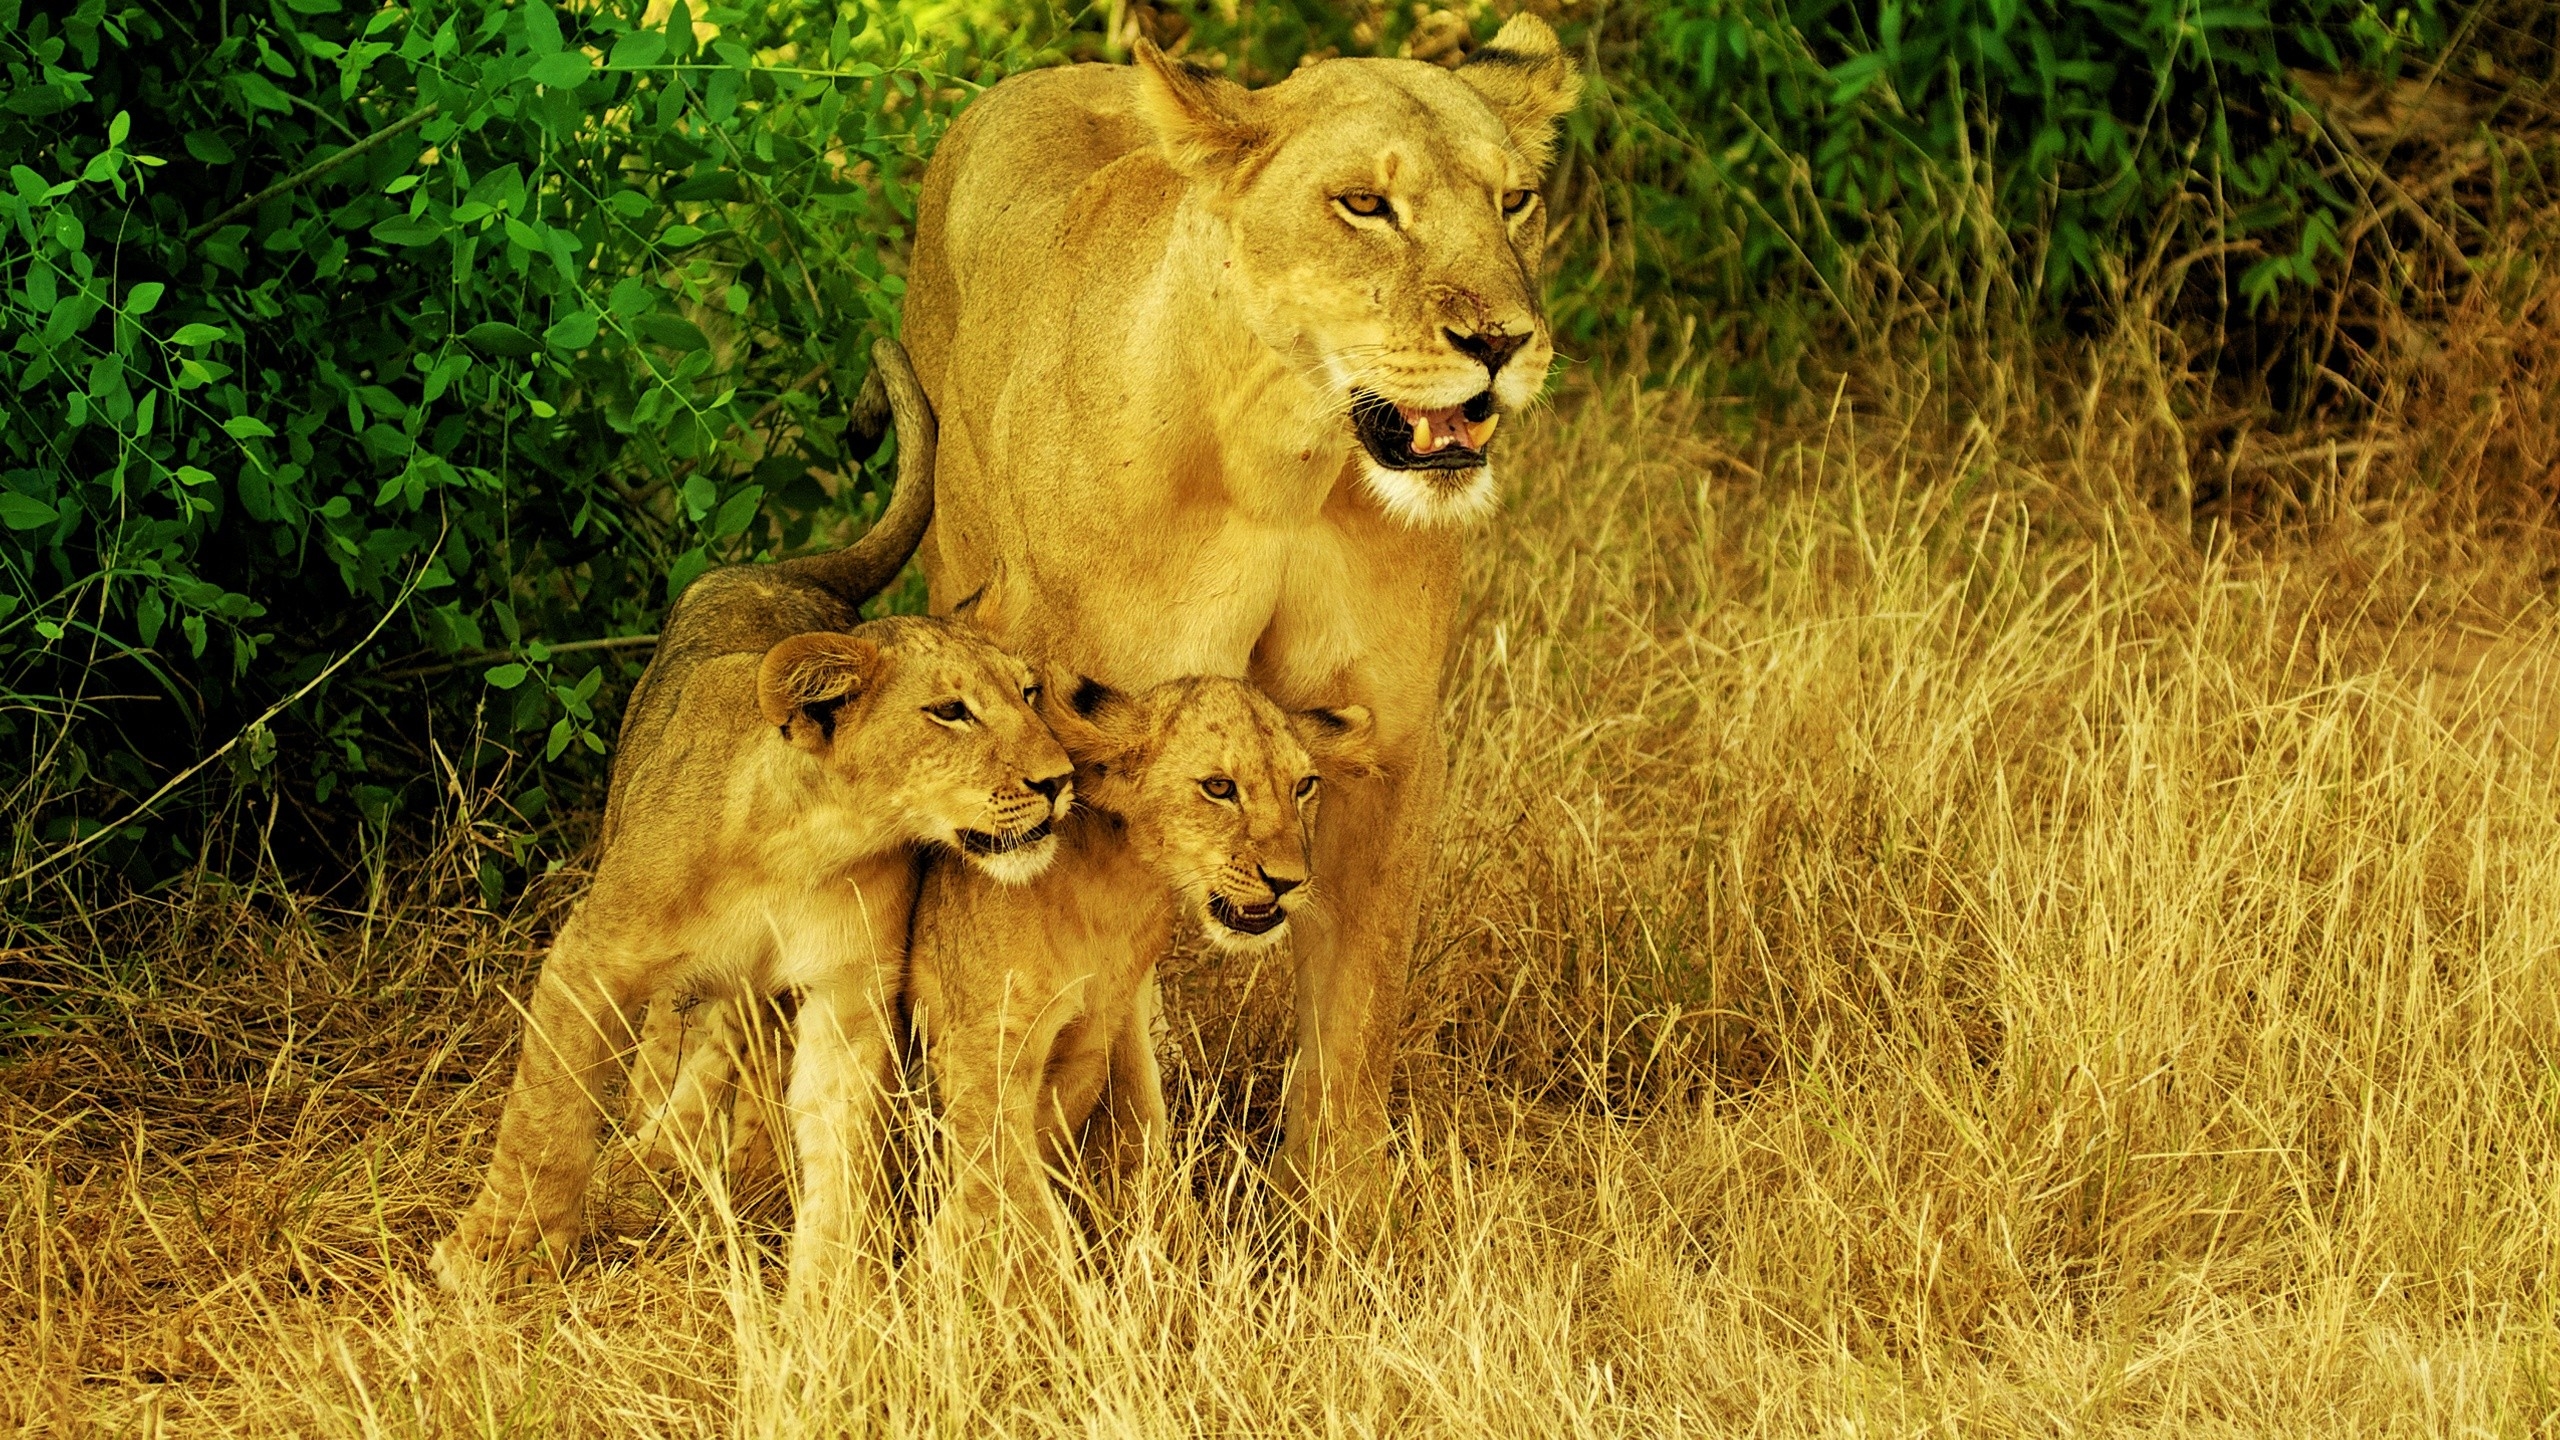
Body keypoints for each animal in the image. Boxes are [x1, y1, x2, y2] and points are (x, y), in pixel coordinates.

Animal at [430, 340, 1074, 1306]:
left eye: (1029, 694)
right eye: (951, 713)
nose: (1060, 781)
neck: (804, 847)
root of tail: (782, 570)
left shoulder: (849, 991)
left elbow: (841, 1144)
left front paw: (830, 1295)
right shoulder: (590, 956)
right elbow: (548, 1109)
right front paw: (497, 1252)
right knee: (672, 1045)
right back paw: (655, 1152)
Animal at [906, 676, 1378, 1259]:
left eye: (1304, 786)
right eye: (1219, 787)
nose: (1289, 881)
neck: (1118, 891)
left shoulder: (1118, 1016)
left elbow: (1142, 1123)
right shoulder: (982, 1054)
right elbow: (1022, 1205)